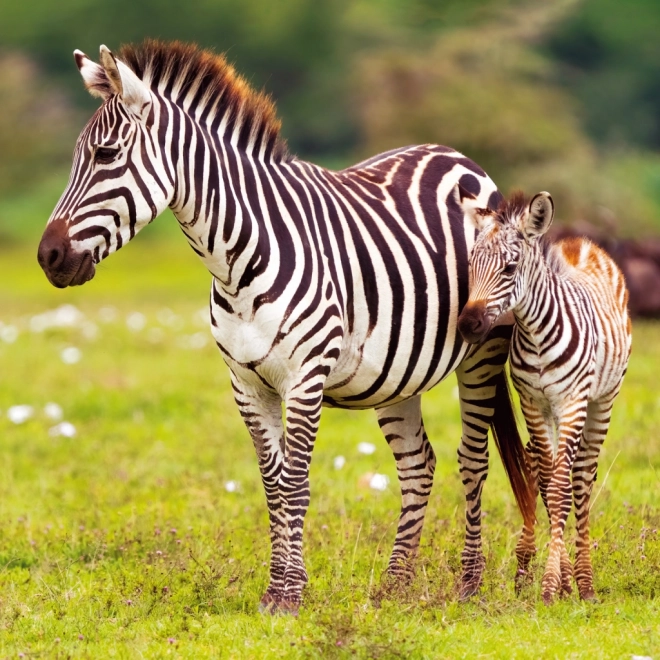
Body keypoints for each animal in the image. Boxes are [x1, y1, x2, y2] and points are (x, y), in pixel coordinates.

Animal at [456, 187, 632, 604]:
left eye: (509, 269)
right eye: (470, 265)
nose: (468, 325)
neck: (536, 335)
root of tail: (580, 242)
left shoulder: (572, 402)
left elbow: (562, 489)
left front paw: (554, 586)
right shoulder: (533, 403)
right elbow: (550, 483)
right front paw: (557, 581)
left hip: (601, 401)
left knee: (582, 478)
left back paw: (586, 583)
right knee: (545, 466)